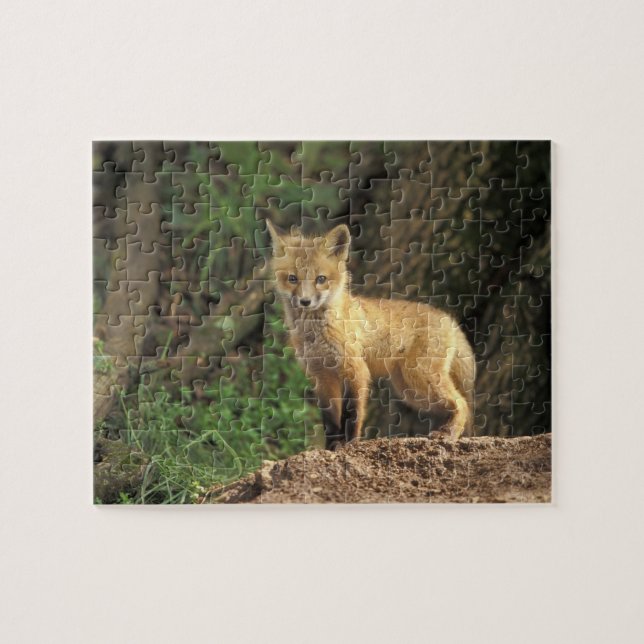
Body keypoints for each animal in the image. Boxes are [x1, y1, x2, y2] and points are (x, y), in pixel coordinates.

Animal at [266, 220, 476, 450]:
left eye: (321, 279)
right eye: (292, 278)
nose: (305, 301)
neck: (316, 333)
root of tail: (448, 318)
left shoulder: (356, 371)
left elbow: (351, 416)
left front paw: (348, 445)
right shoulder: (321, 376)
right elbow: (330, 421)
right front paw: (330, 448)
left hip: (420, 377)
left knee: (462, 403)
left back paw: (449, 433)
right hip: (410, 390)